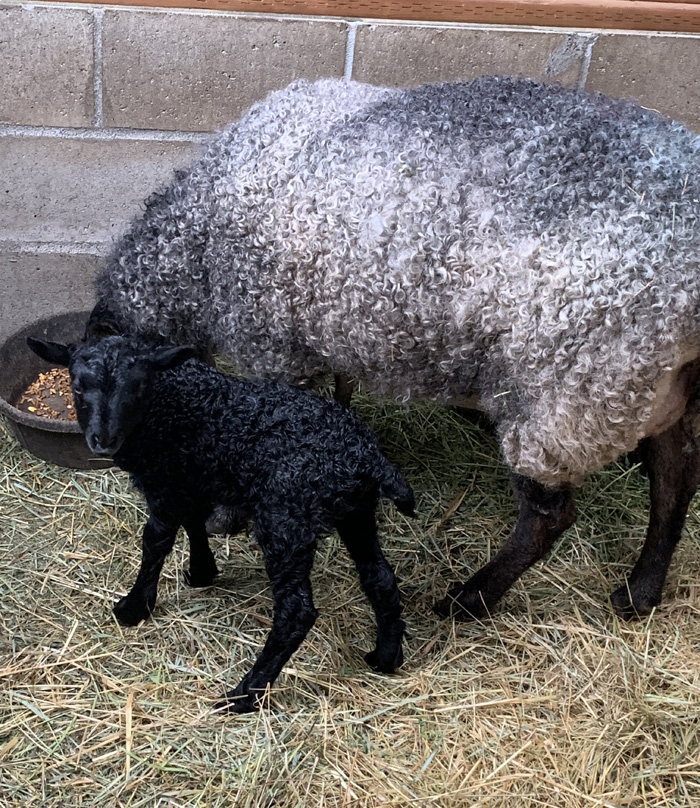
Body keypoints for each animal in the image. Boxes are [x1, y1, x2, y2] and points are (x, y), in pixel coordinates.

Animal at [28, 334, 416, 712]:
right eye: (77, 387)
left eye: (138, 388)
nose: (103, 441)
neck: (166, 407)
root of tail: (368, 458)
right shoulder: (193, 475)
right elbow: (194, 524)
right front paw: (201, 572)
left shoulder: (165, 484)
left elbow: (155, 543)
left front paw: (134, 607)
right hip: (357, 511)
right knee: (379, 578)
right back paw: (385, 656)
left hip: (285, 519)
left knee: (296, 611)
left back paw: (245, 694)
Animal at [90, 76, 700, 620]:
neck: (199, 239)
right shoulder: (325, 331)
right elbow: (338, 397)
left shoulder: (274, 348)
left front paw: (225, 515)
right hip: (647, 386)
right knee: (676, 477)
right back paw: (640, 591)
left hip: (568, 389)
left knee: (551, 516)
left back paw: (470, 599)